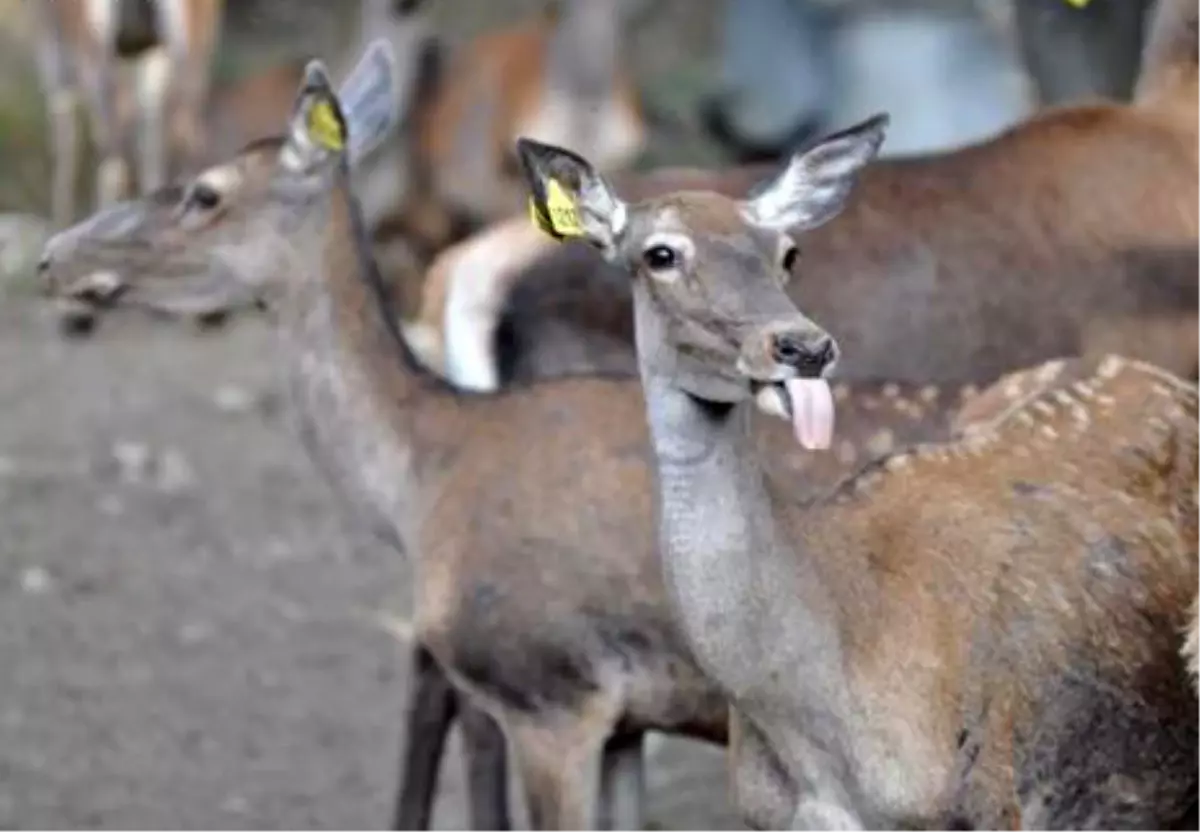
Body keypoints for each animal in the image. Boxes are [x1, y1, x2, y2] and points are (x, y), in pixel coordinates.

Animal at [30, 0, 225, 226]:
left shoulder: (58, 64)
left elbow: (65, 145)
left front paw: (61, 224)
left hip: (103, 65)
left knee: (114, 158)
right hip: (181, 63)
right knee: (180, 142)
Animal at [30, 42, 1080, 830]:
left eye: (202, 193)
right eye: (664, 254)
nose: (51, 256)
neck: (423, 478)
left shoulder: (551, 693)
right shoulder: (622, 722)